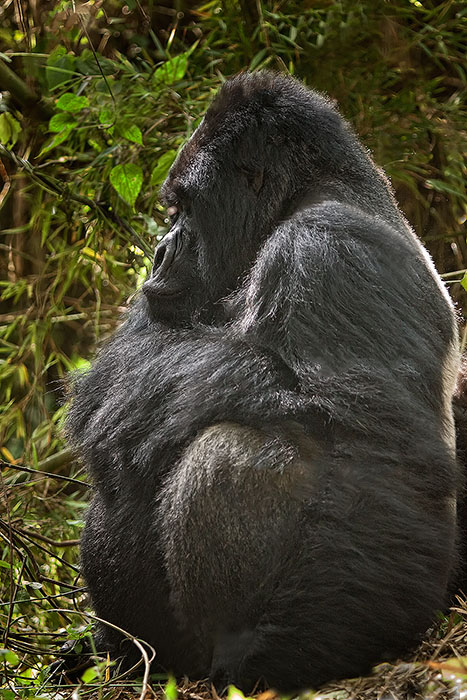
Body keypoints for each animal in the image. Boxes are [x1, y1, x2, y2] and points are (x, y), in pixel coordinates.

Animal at [67, 72, 462, 696]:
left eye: (184, 208)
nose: (159, 251)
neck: (305, 195)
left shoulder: (330, 248)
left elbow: (377, 447)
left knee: (231, 448)